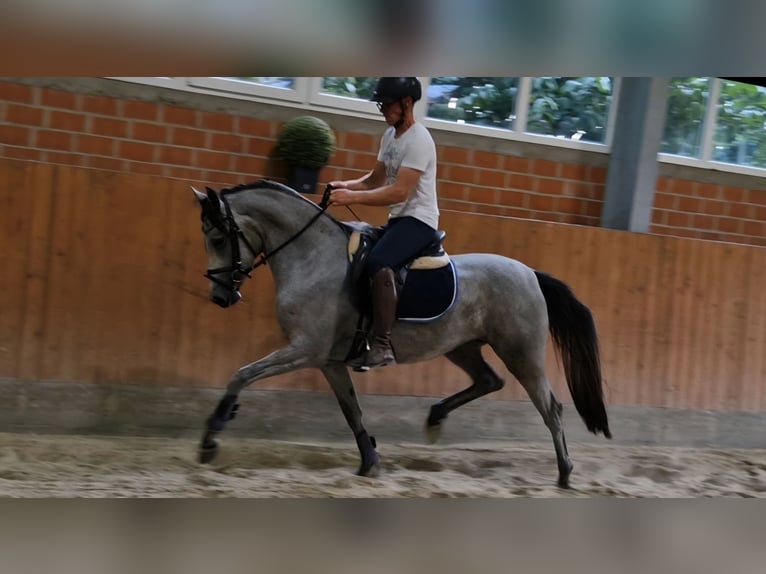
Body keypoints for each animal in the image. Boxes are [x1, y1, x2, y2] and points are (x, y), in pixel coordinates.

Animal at [191, 180, 611, 489]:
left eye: (218, 239)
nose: (221, 296)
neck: (312, 257)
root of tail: (530, 274)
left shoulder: (305, 350)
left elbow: (241, 375)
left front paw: (210, 440)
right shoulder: (328, 361)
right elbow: (352, 411)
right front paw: (369, 462)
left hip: (521, 352)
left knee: (550, 407)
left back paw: (565, 472)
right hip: (462, 346)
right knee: (489, 380)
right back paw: (436, 418)